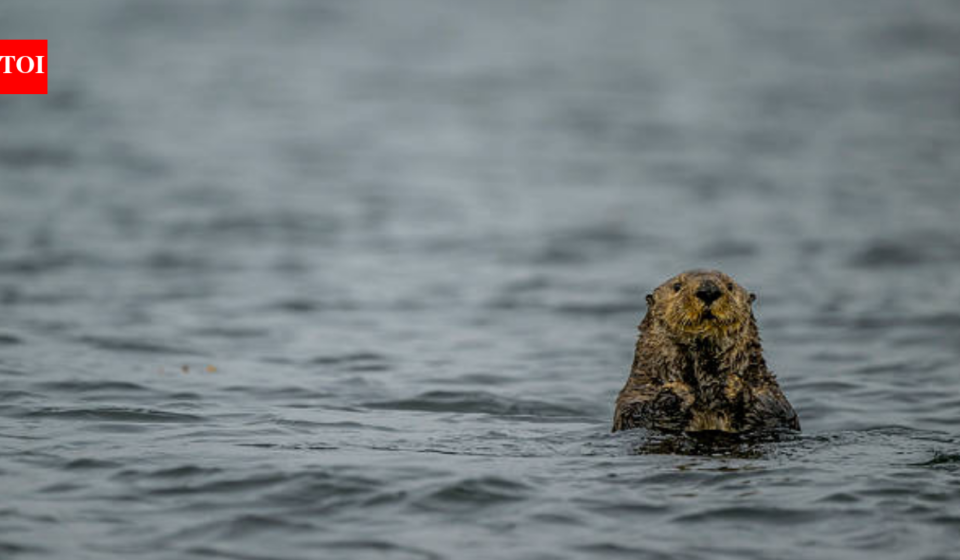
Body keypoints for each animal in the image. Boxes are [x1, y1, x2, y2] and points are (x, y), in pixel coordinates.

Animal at [613, 269, 799, 434]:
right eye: (677, 286)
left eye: (730, 286)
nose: (708, 290)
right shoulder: (637, 391)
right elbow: (634, 416)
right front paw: (677, 393)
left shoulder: (767, 389)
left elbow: (778, 413)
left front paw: (732, 385)